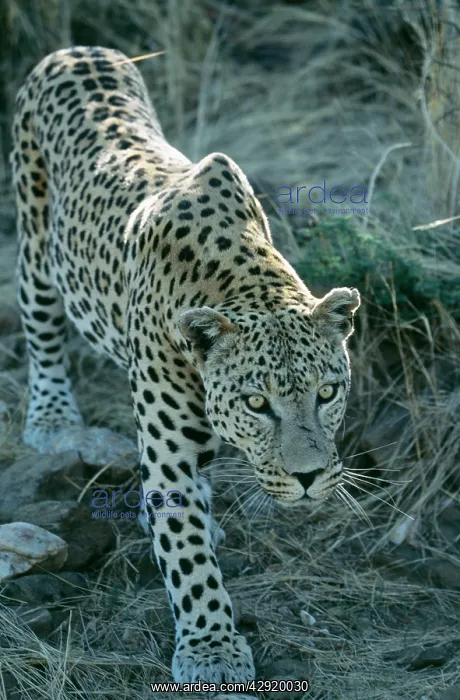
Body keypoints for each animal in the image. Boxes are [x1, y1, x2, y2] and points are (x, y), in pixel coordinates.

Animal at [11, 46, 360, 683]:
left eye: (326, 394)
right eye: (257, 403)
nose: (307, 480)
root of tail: (77, 49)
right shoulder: (168, 452)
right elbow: (189, 557)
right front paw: (212, 650)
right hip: (35, 245)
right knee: (41, 325)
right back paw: (52, 419)